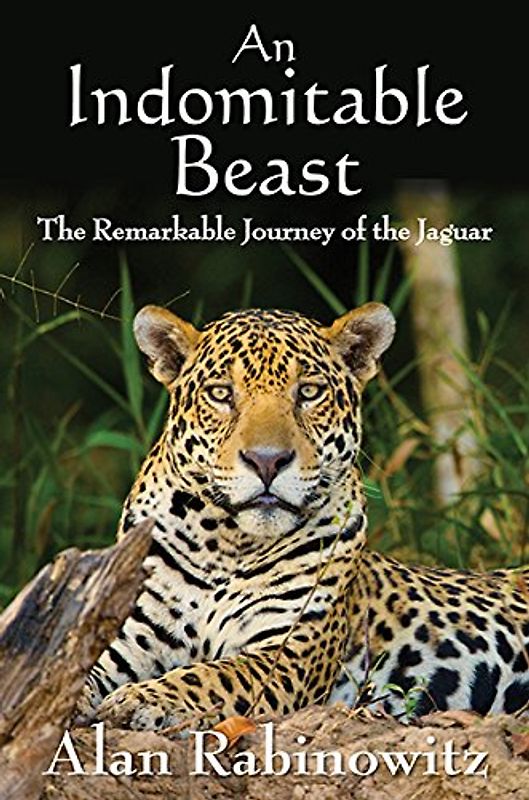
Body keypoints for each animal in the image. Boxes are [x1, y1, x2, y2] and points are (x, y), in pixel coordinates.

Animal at [79, 302, 529, 730]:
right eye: (221, 394)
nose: (267, 461)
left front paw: (141, 698)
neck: (224, 543)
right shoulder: (127, 636)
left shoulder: (287, 653)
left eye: (309, 392)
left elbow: (210, 675)